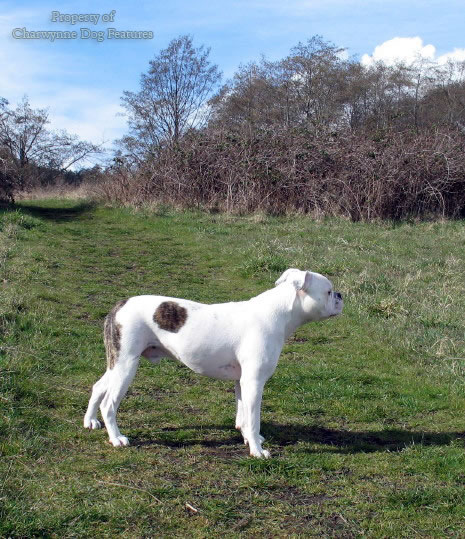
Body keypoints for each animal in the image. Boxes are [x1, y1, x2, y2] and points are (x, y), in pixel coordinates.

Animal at [85, 268, 342, 458]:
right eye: (328, 292)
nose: (340, 295)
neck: (280, 313)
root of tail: (120, 305)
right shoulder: (254, 383)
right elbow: (253, 419)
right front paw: (258, 451)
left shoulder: (242, 382)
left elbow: (243, 417)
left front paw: (249, 439)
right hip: (126, 366)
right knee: (109, 403)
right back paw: (116, 438)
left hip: (117, 363)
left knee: (98, 387)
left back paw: (91, 421)